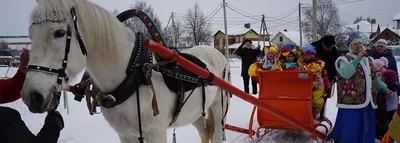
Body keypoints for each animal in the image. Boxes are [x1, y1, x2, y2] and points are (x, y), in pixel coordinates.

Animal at [21, 0, 231, 142]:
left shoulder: (156, 133)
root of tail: (216, 53)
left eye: (59, 33)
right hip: (195, 113)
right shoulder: (126, 134)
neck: (133, 73)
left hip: (219, 107)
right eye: (30, 35)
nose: (32, 96)